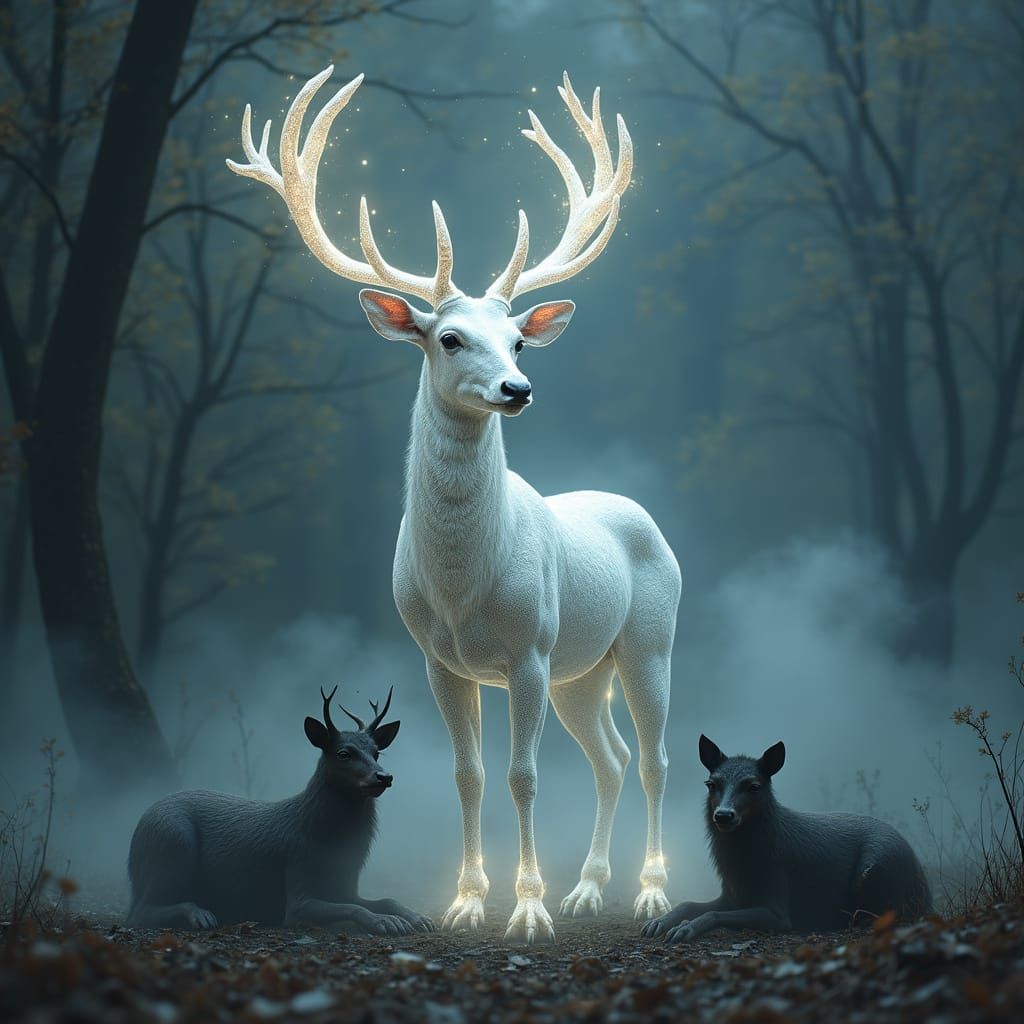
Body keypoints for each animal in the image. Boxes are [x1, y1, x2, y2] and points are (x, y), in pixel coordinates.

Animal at [126, 687, 433, 934]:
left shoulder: (346, 885)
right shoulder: (298, 877)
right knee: (140, 912)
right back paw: (202, 915)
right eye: (343, 753)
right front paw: (387, 922)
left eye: (377, 752)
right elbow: (351, 908)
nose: (384, 777)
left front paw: (419, 918)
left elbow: (386, 899)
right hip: (172, 842)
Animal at [227, 66, 681, 944]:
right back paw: (589, 888)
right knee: (609, 759)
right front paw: (468, 902)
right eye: (449, 338)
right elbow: (468, 774)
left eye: (518, 339)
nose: (518, 388)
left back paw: (648, 891)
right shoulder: (438, 659)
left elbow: (522, 774)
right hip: (583, 671)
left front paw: (528, 910)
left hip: (648, 640)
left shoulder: (530, 650)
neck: (464, 587)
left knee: (652, 758)